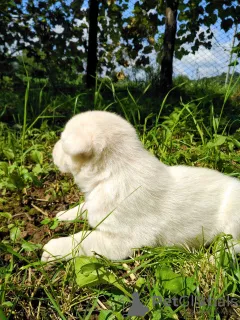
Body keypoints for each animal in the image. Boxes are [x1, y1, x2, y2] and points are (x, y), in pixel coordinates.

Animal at [42, 111, 240, 262]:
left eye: (62, 141)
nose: (52, 150)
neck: (113, 172)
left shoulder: (122, 240)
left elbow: (84, 241)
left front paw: (53, 248)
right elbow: (82, 208)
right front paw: (63, 215)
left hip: (233, 222)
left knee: (231, 248)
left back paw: (210, 261)